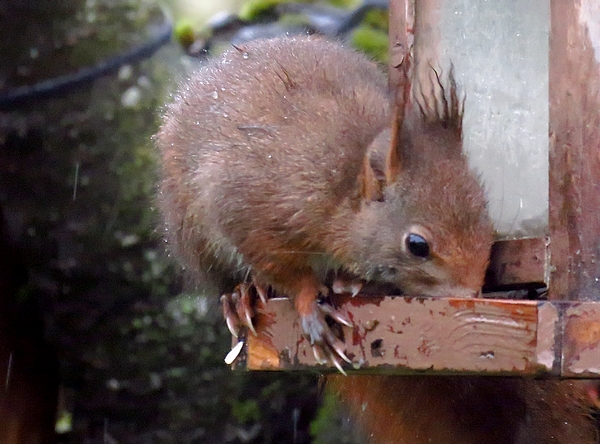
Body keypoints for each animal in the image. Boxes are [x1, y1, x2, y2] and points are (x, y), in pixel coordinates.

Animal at [156, 36, 600, 442]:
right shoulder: (253, 207)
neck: (341, 191)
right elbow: (280, 267)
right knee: (224, 276)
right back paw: (241, 295)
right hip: (192, 234)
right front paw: (309, 306)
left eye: (487, 223)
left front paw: (352, 281)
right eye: (417, 246)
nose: (473, 295)